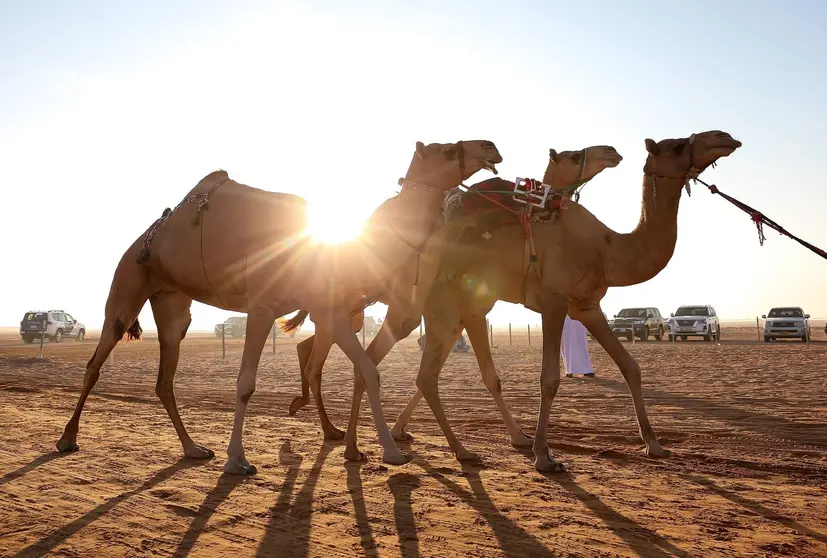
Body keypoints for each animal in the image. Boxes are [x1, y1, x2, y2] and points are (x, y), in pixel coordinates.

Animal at [56, 140, 504, 476]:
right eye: (447, 149)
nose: (491, 147)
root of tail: (147, 236)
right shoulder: (262, 306)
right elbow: (245, 383)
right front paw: (238, 461)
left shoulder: (327, 309)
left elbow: (368, 370)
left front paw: (391, 452)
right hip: (128, 281)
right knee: (98, 357)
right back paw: (67, 438)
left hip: (172, 305)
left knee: (165, 376)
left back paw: (194, 448)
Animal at [284, 145, 620, 464]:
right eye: (573, 156)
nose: (612, 152)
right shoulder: (466, 311)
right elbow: (480, 376)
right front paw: (518, 438)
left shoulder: (458, 316)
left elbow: (437, 375)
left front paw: (403, 430)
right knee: (335, 357)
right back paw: (334, 430)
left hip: (353, 309)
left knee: (314, 351)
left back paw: (324, 422)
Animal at [388, 130, 744, 472]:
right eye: (679, 145)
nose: (724, 137)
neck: (606, 248)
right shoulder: (554, 302)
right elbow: (549, 379)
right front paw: (544, 457)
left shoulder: (587, 306)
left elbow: (630, 366)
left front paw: (654, 445)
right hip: (443, 304)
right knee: (426, 370)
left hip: (463, 307)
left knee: (435, 369)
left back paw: (405, 432)